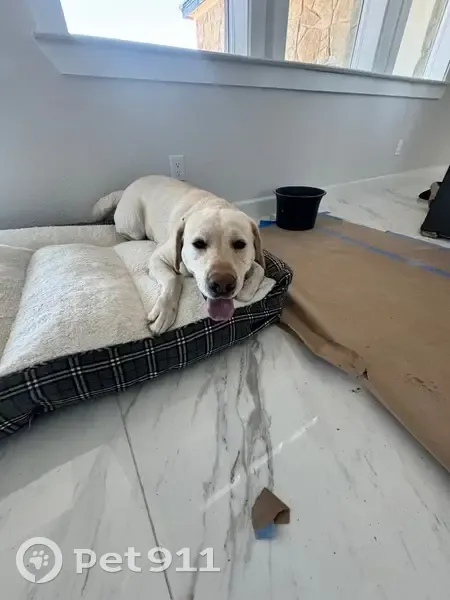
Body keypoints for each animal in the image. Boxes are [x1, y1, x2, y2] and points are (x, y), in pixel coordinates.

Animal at [93, 176, 266, 336]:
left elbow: (260, 269)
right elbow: (173, 279)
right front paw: (164, 311)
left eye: (240, 244)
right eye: (198, 243)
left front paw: (247, 289)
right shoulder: (157, 259)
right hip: (134, 227)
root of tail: (127, 188)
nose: (222, 284)